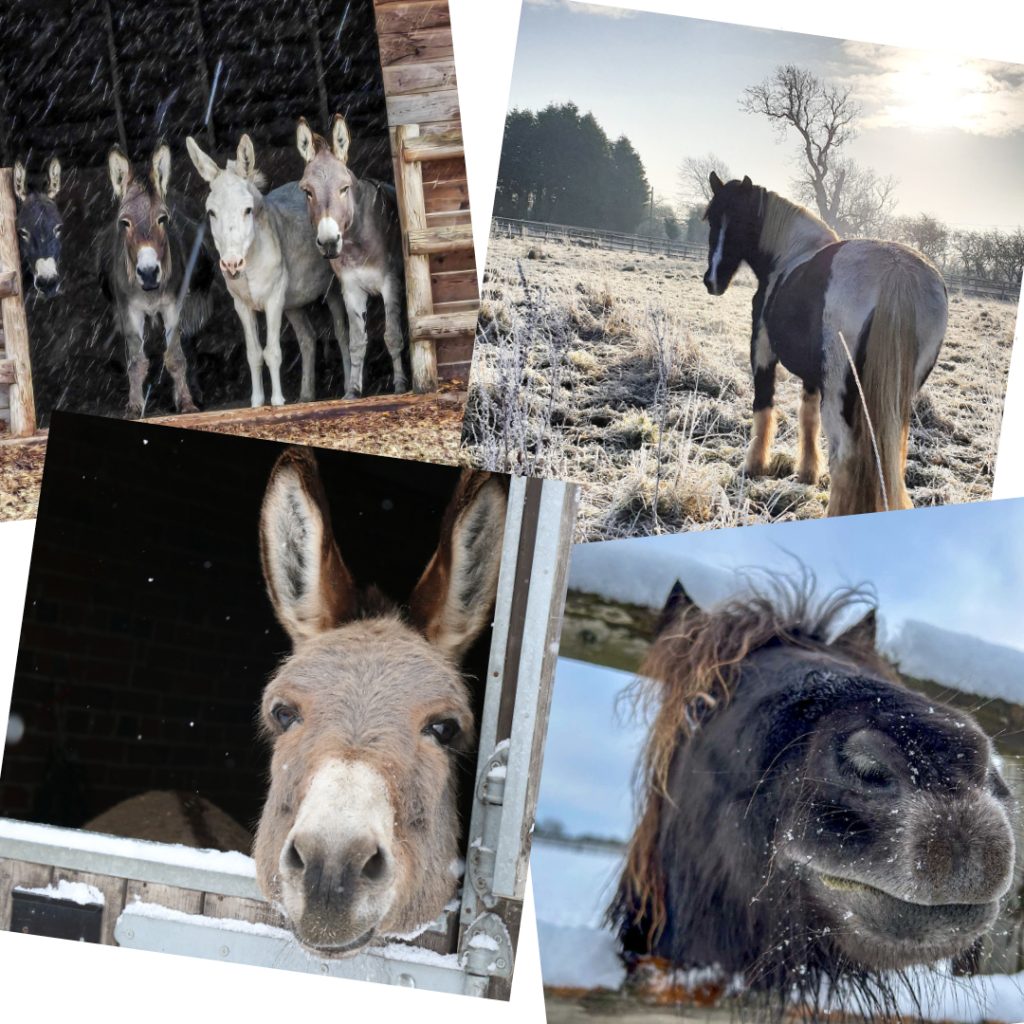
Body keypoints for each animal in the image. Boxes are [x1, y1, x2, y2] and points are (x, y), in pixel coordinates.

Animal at [99, 144, 214, 418]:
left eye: (163, 219)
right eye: (125, 222)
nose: (150, 272)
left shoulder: (173, 306)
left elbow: (175, 356)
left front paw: (186, 403)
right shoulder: (129, 309)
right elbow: (136, 361)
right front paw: (134, 407)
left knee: (189, 342)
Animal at [185, 134, 349, 408]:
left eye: (247, 209)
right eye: (211, 212)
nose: (231, 264)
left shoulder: (273, 301)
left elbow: (272, 352)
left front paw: (278, 401)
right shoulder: (242, 305)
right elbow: (253, 354)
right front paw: (257, 402)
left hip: (331, 291)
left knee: (342, 331)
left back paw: (350, 386)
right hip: (293, 303)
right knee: (307, 338)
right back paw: (307, 394)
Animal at [296, 114, 407, 398]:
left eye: (344, 188)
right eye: (307, 192)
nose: (328, 242)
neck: (356, 243)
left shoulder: (390, 282)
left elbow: (392, 335)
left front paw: (400, 385)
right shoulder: (351, 289)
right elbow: (357, 341)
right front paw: (354, 390)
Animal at [702, 172, 948, 517]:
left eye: (740, 221)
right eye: (713, 219)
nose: (712, 280)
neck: (790, 254)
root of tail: (895, 271)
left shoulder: (762, 354)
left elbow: (763, 408)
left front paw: (754, 466)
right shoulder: (811, 376)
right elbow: (808, 418)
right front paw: (807, 472)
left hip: (841, 395)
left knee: (845, 457)